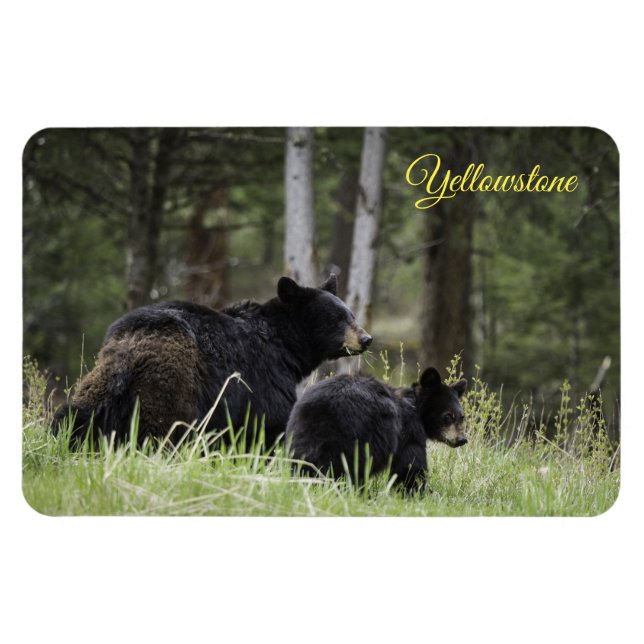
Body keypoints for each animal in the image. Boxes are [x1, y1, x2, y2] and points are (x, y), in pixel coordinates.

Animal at [53, 274, 372, 448]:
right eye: (337, 318)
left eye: (351, 314)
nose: (366, 338)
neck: (285, 346)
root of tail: (129, 351)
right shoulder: (263, 376)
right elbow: (271, 421)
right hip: (170, 384)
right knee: (165, 429)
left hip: (100, 385)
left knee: (73, 416)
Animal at [285, 367, 467, 491]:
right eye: (448, 416)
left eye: (462, 416)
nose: (462, 439)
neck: (415, 406)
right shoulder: (408, 431)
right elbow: (410, 465)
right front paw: (419, 492)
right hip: (357, 437)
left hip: (301, 433)